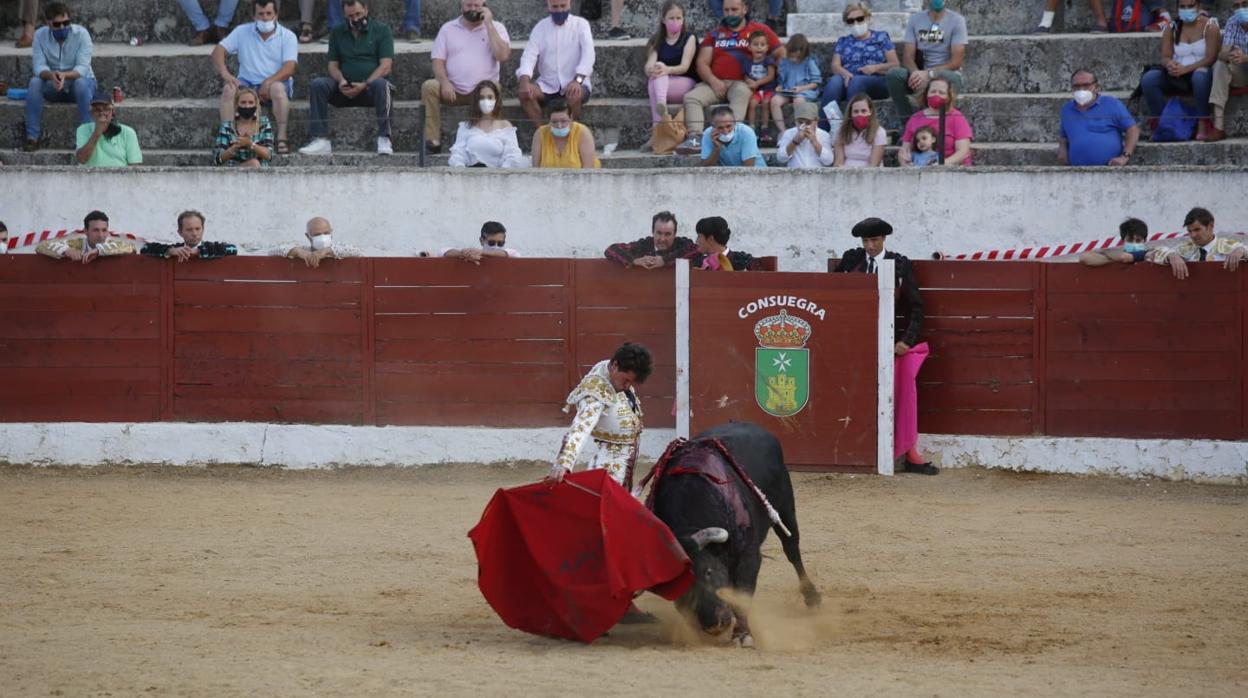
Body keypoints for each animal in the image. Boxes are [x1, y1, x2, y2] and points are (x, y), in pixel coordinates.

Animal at [648, 417, 823, 649]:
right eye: (675, 590)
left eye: (708, 571)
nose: (713, 625)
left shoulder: (749, 556)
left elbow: (742, 596)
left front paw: (743, 634)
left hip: (785, 508)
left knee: (792, 549)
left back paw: (811, 596)